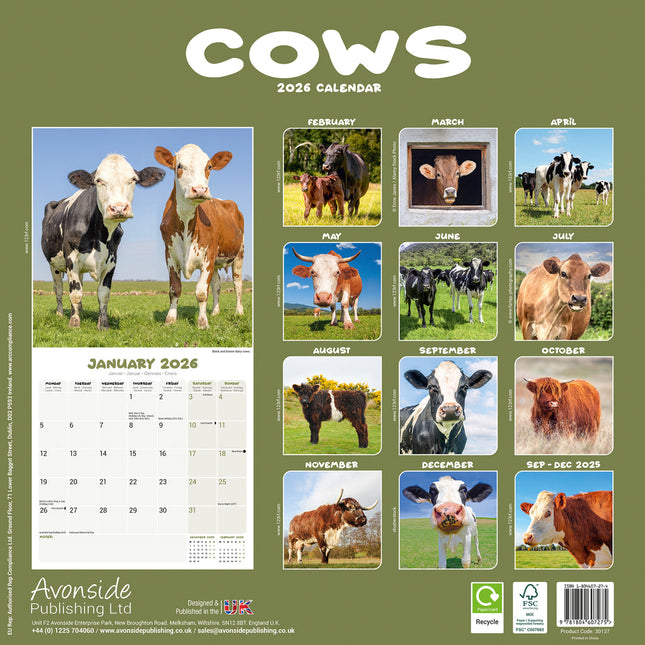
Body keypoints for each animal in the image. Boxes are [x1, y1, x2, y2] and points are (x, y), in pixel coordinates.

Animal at [41, 154, 165, 330]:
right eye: (98, 180)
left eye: (133, 179)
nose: (119, 208)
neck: (100, 234)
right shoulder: (71, 258)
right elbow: (75, 293)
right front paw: (74, 323)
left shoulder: (112, 259)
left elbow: (103, 294)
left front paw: (103, 325)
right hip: (54, 265)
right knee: (58, 288)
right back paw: (60, 313)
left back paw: (80, 310)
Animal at [154, 144, 245, 330]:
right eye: (179, 166)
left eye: (209, 166)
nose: (200, 190)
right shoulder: (170, 255)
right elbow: (174, 289)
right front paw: (170, 320)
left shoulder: (208, 254)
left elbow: (202, 291)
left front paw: (202, 322)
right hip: (217, 262)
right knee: (217, 285)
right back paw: (215, 312)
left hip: (239, 253)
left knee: (237, 283)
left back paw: (239, 311)